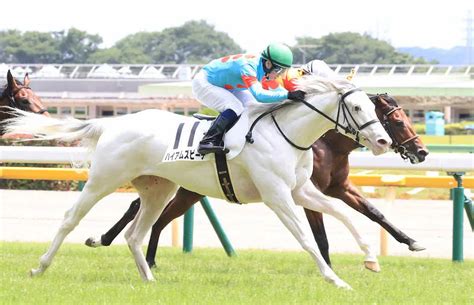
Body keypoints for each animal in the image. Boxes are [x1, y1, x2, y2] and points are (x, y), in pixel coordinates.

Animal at [6, 75, 392, 288]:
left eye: (374, 108)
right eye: (358, 108)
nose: (384, 142)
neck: (286, 133)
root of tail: (113, 123)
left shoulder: (300, 190)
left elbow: (344, 215)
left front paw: (370, 259)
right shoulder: (278, 196)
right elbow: (307, 240)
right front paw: (336, 280)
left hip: (159, 190)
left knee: (135, 234)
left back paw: (149, 279)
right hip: (105, 178)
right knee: (70, 219)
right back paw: (39, 267)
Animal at [86, 92, 430, 266]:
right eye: (398, 120)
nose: (422, 152)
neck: (321, 141)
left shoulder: (338, 187)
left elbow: (375, 212)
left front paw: (411, 241)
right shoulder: (307, 194)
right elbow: (321, 237)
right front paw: (327, 268)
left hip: (187, 190)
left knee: (148, 213)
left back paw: (125, 248)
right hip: (186, 191)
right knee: (149, 214)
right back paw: (120, 246)